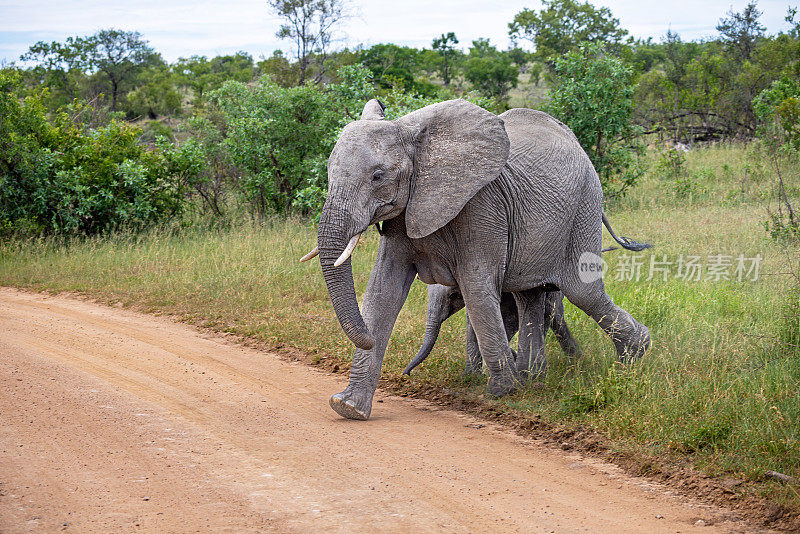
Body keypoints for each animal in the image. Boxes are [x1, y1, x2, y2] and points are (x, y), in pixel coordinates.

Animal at [300, 98, 648, 420]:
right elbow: (383, 289)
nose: (404, 375)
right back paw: (532, 379)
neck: (413, 137)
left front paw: (501, 393)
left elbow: (477, 287)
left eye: (377, 176)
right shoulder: (407, 212)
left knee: (583, 291)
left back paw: (633, 357)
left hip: (584, 205)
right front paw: (348, 407)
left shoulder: (482, 206)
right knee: (529, 296)